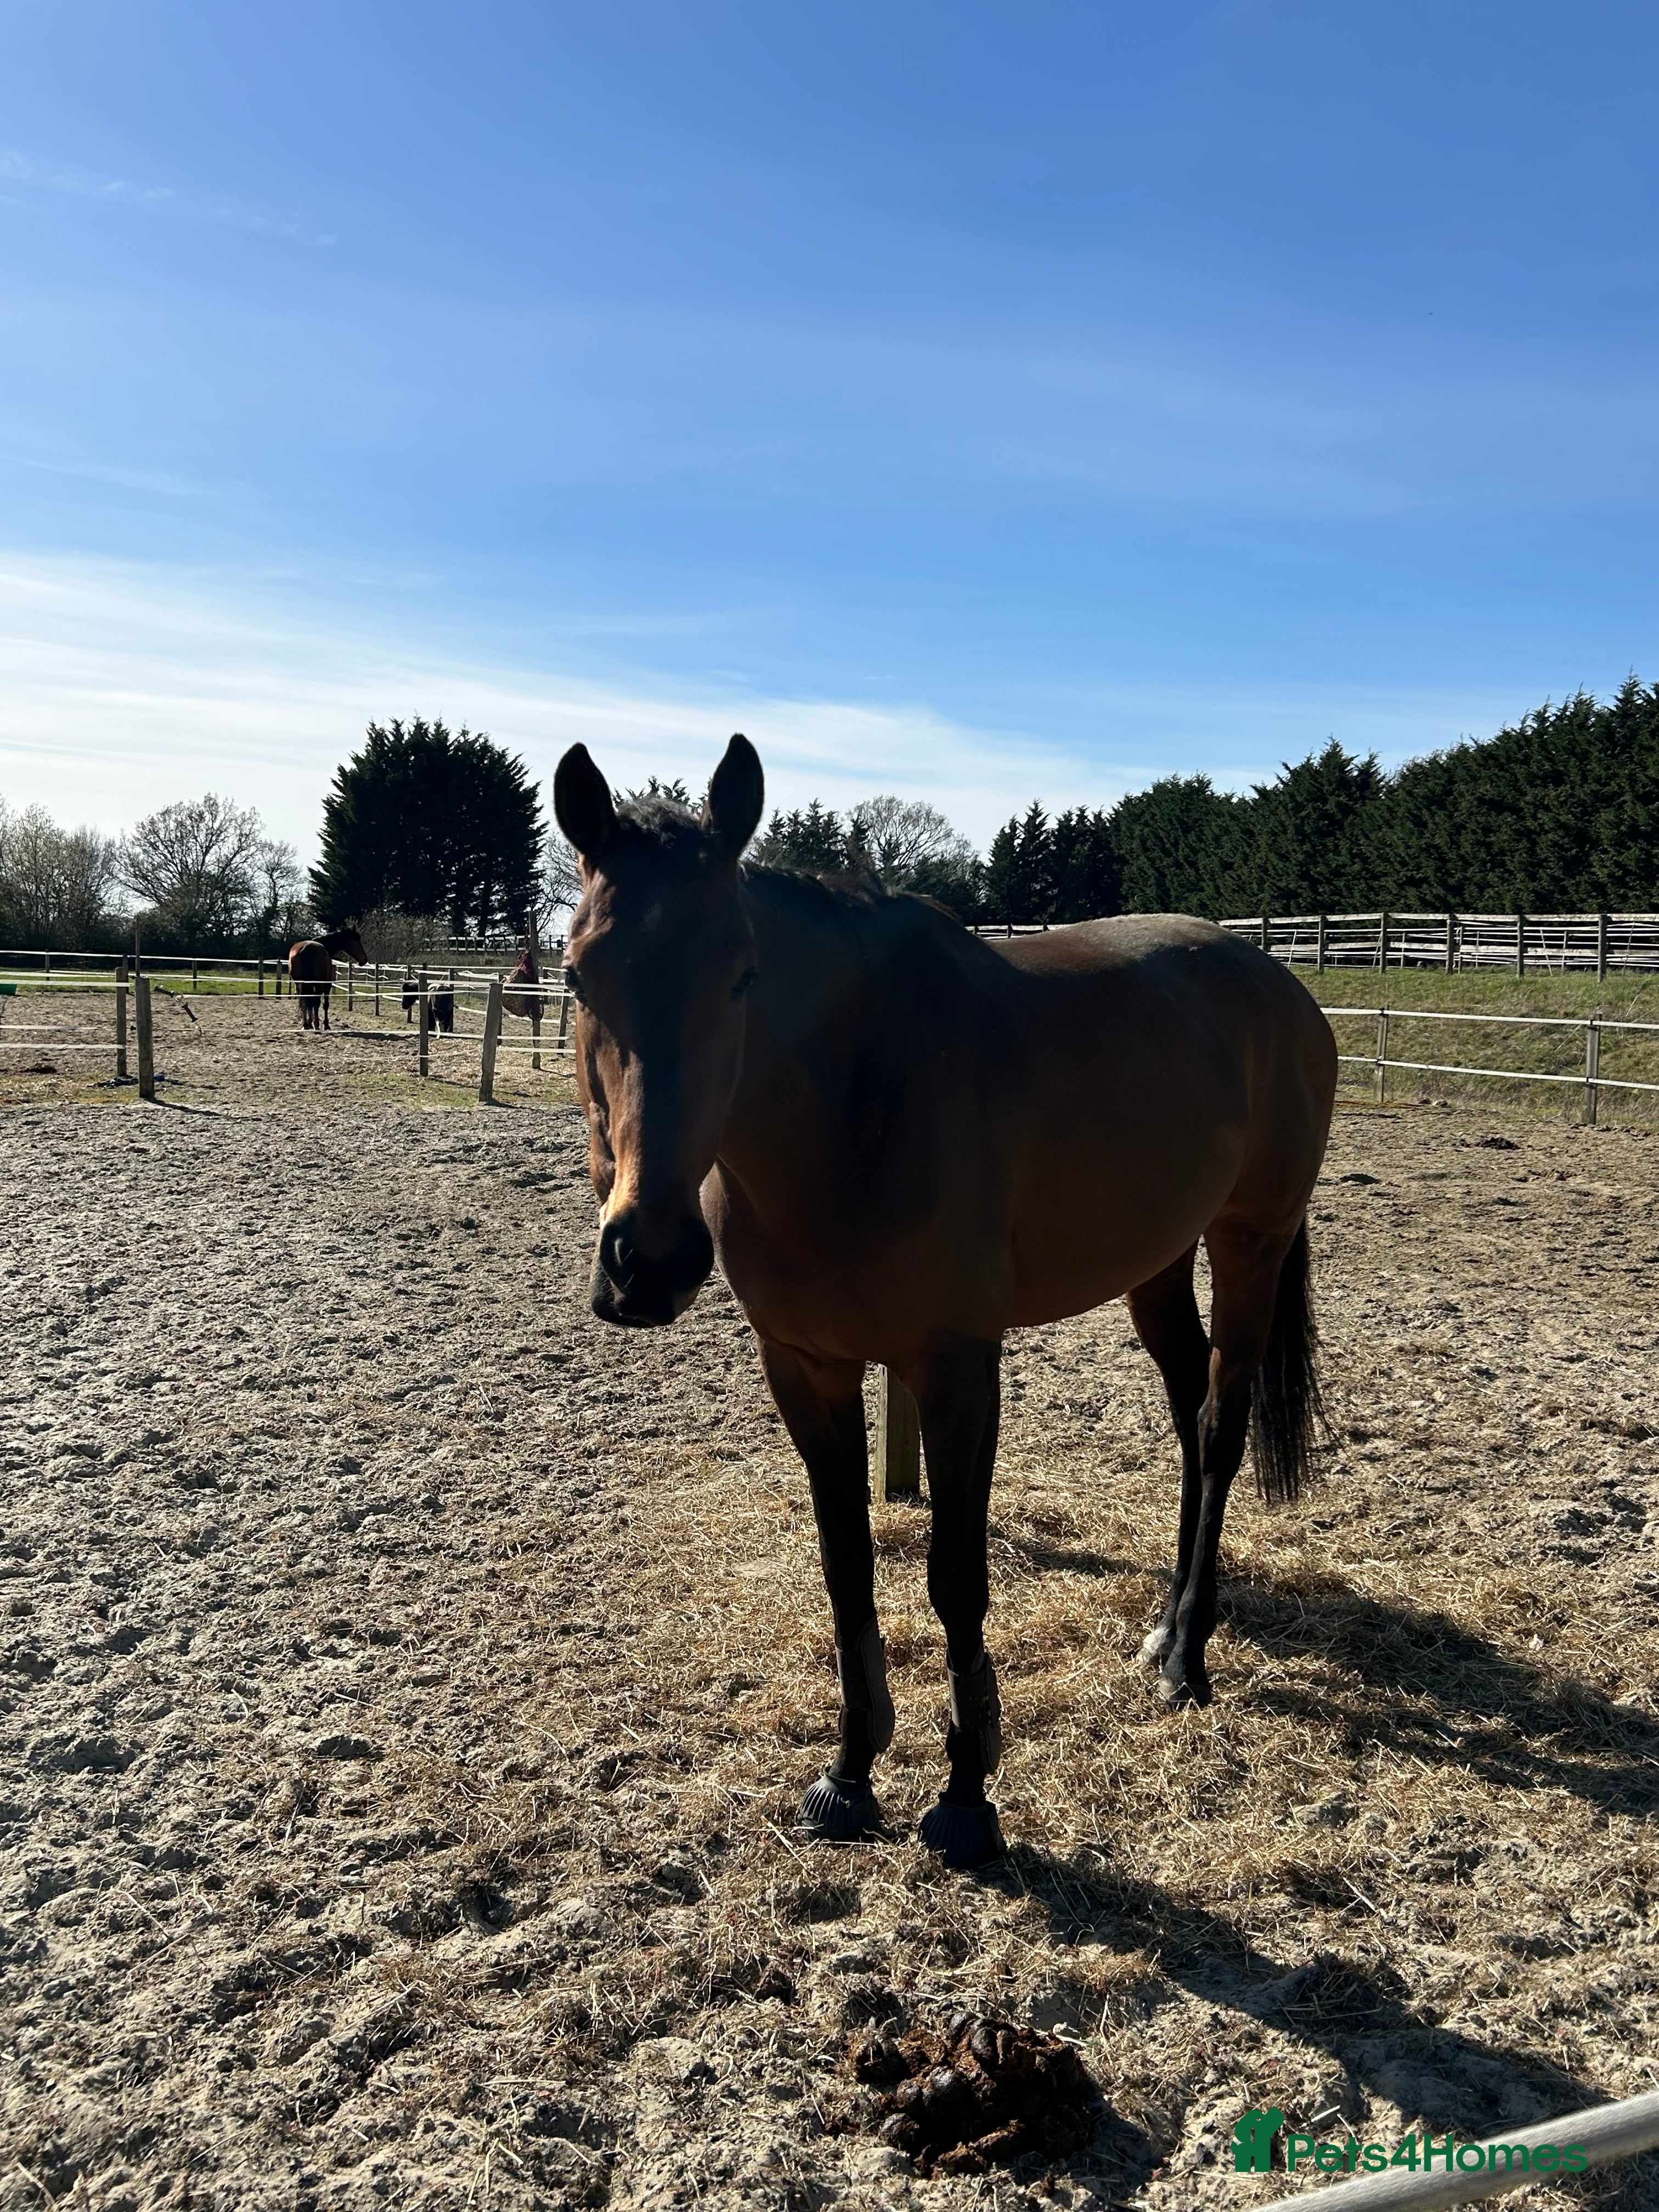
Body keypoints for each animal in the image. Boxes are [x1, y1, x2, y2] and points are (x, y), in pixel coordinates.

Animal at [288, 928, 368, 1032]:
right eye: (356, 941)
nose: (364, 960)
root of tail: (306, 949)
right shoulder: (327, 985)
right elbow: (325, 1005)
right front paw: (326, 1025)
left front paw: (310, 1024)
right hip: (317, 984)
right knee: (315, 1002)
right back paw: (316, 1025)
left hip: (300, 984)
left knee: (304, 1001)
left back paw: (305, 1025)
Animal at [552, 734, 1337, 1869]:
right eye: (576, 973)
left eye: (742, 974)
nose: (647, 1259)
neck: (856, 1102)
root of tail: (1278, 984)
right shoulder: (805, 1367)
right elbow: (846, 1571)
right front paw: (847, 1774)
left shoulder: (958, 1366)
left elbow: (953, 1580)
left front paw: (967, 1795)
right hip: (1155, 1262)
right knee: (1189, 1409)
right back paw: (1163, 1624)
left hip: (1248, 1244)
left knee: (1218, 1426)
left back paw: (1186, 1657)